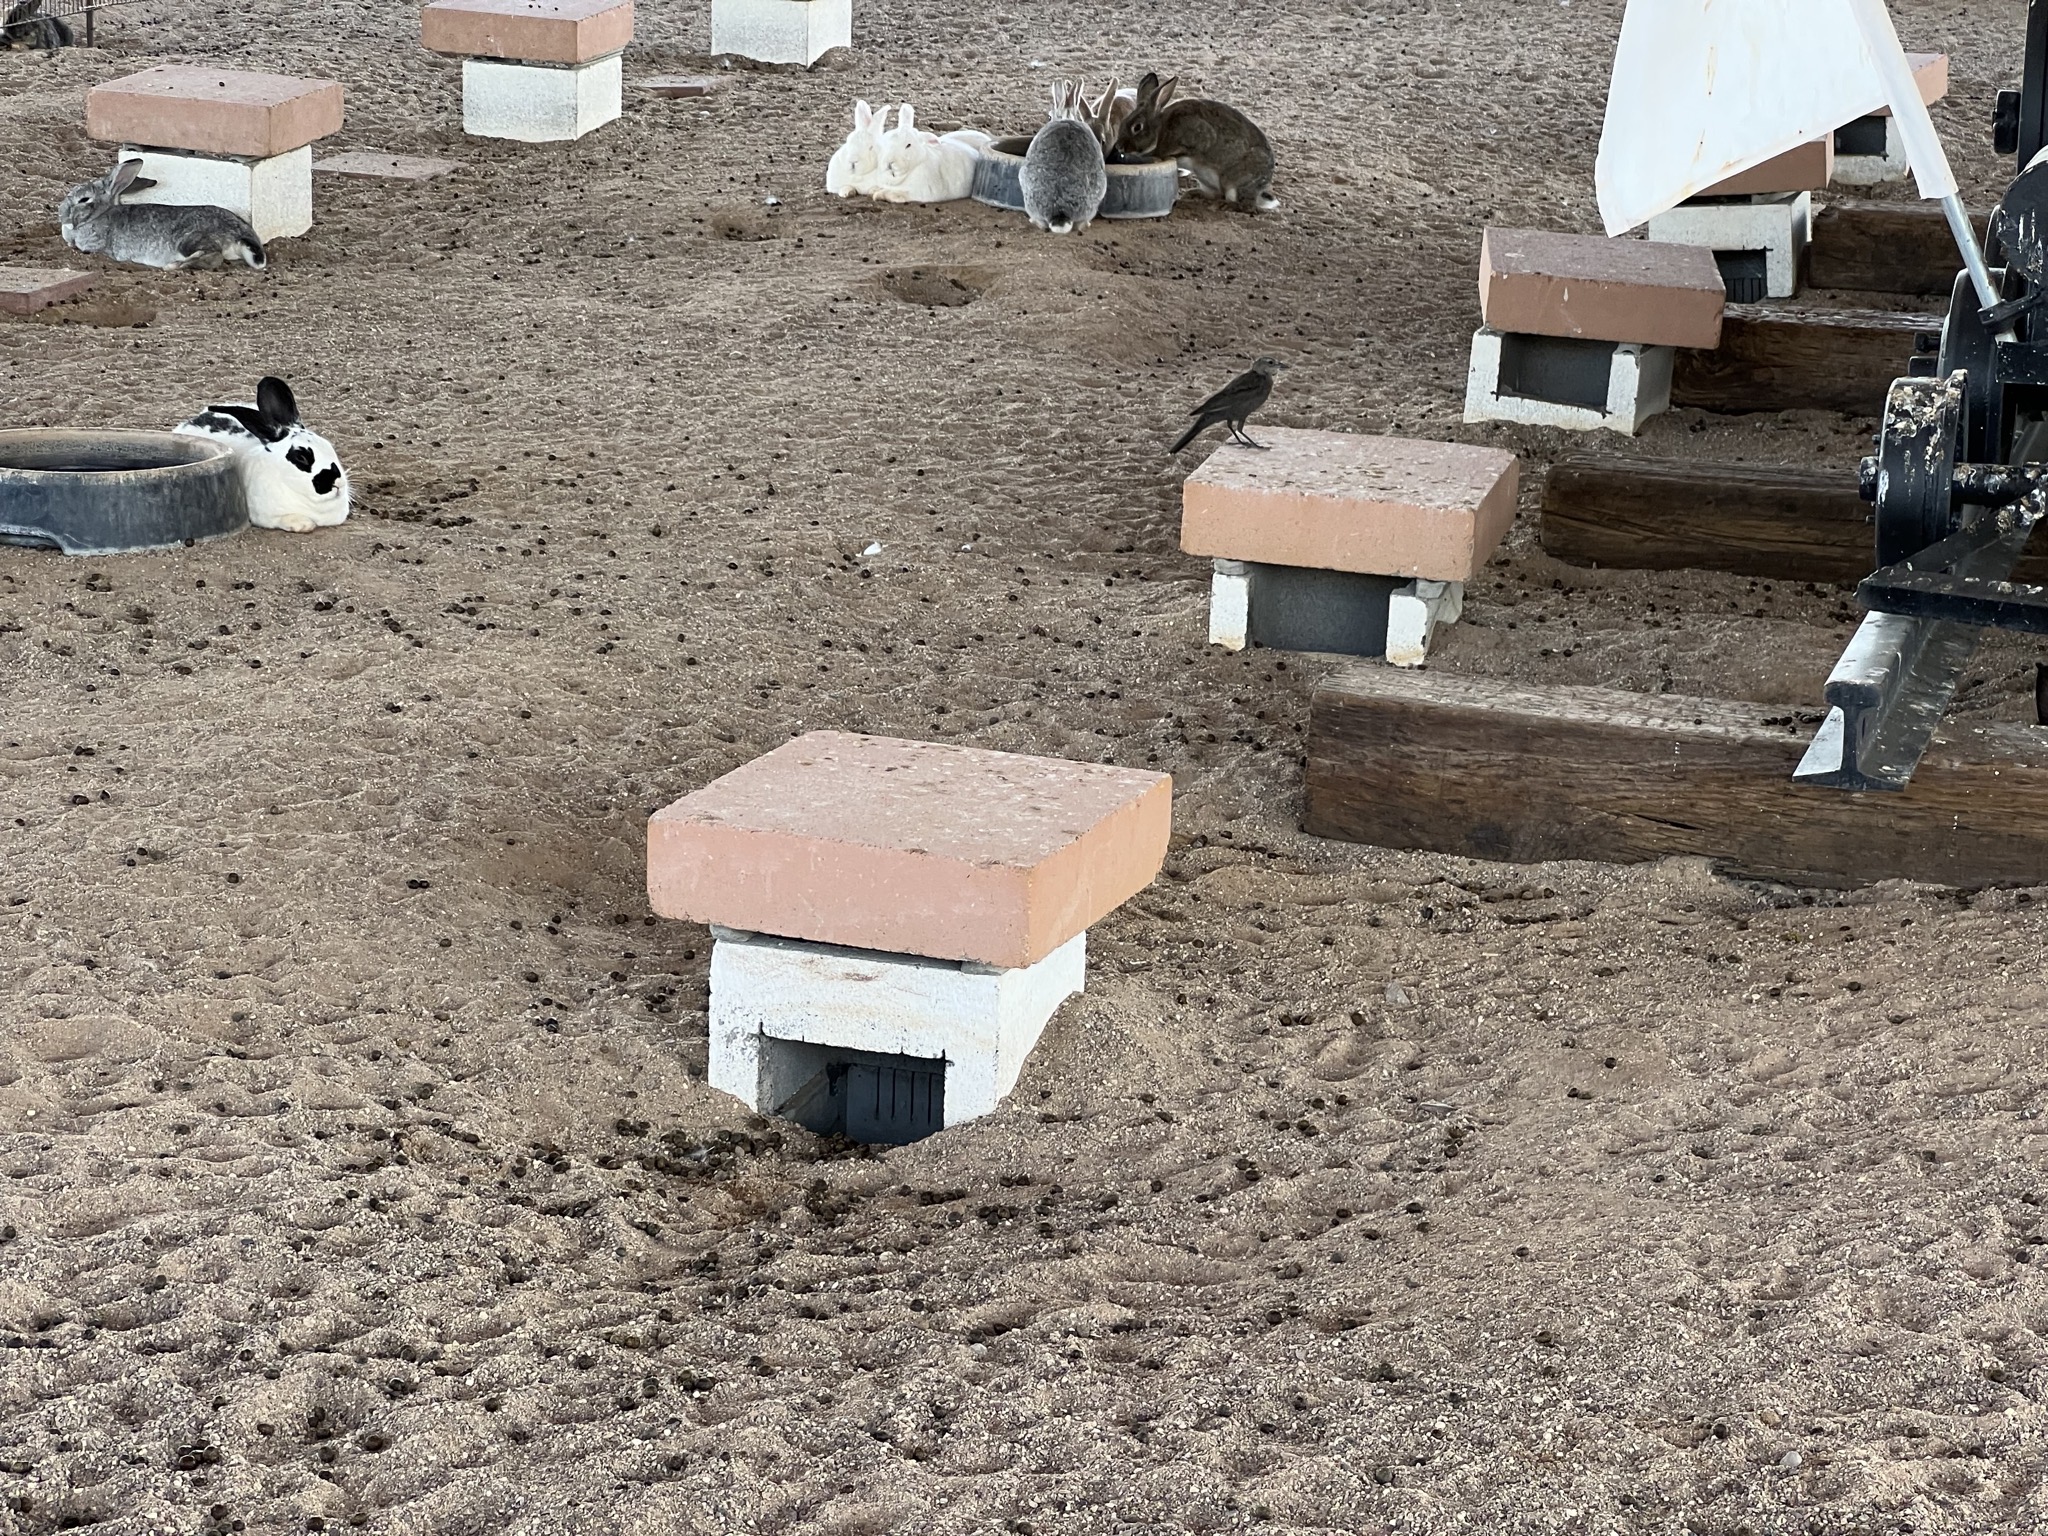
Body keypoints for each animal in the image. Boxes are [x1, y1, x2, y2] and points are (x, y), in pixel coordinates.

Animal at [60, 160, 267, 271]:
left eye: (84, 199)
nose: (61, 214)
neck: (99, 214)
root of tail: (240, 234)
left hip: (190, 239)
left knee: (212, 255)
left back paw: (173, 265)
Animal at [1118, 74, 1279, 211]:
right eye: (1123, 122)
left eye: (1137, 127)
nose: (1120, 147)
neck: (1161, 129)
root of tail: (1262, 187)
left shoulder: (1198, 135)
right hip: (1207, 181)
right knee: (1216, 194)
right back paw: (1193, 194)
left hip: (1234, 184)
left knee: (1245, 205)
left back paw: (1224, 205)